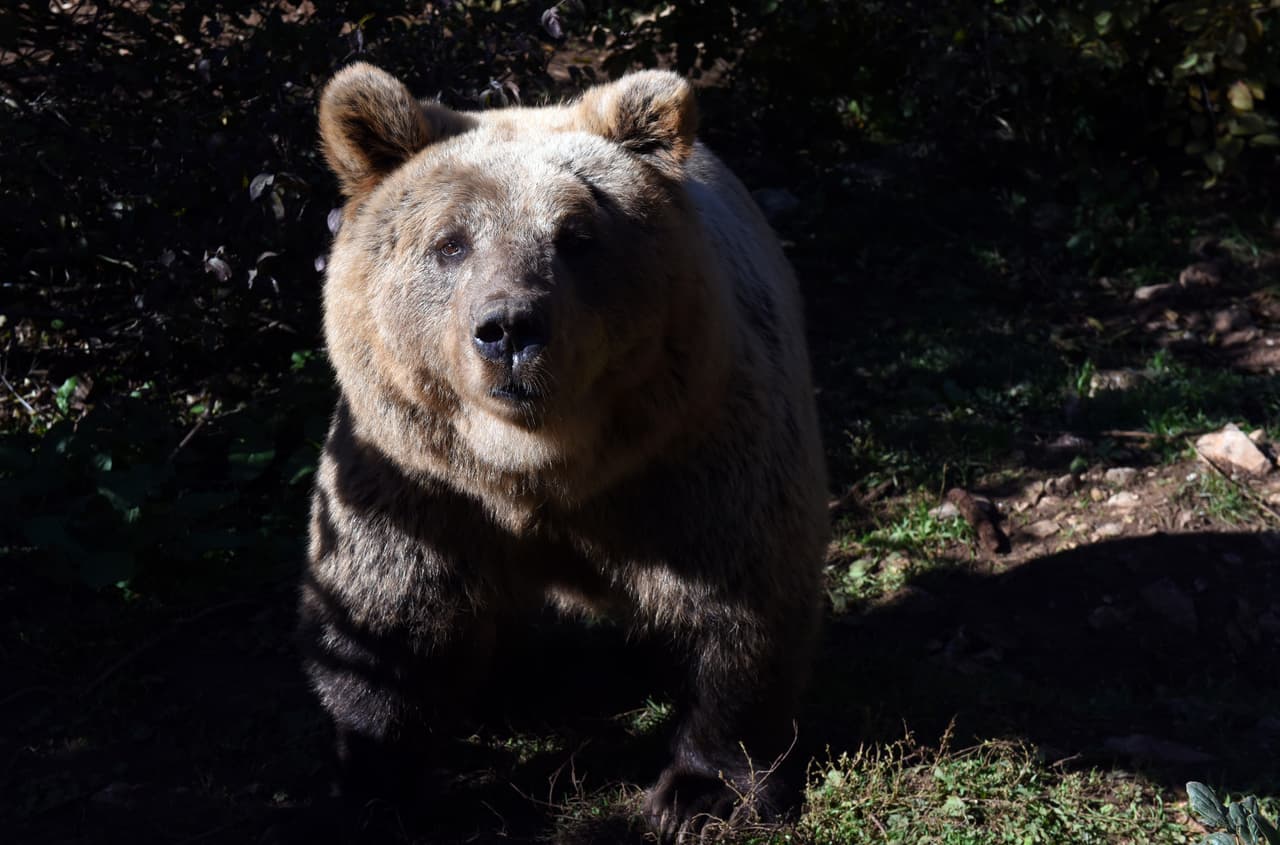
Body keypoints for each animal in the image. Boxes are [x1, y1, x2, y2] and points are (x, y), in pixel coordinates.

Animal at [299, 62, 829, 842]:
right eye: (450, 242)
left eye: (575, 236)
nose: (509, 328)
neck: (537, 467)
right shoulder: (418, 484)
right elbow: (381, 618)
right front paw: (374, 787)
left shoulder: (695, 461)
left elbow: (744, 607)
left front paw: (700, 791)